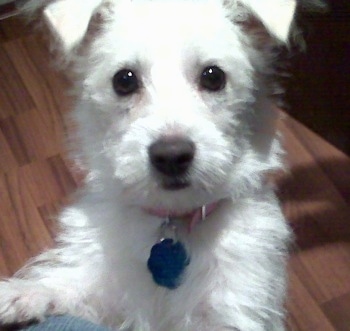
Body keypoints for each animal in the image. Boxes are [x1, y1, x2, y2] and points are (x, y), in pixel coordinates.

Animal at [0, 0, 300, 331]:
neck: (172, 219)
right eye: (124, 80)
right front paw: (22, 294)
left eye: (213, 76)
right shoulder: (107, 294)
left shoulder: (233, 309)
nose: (171, 156)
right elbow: (69, 288)